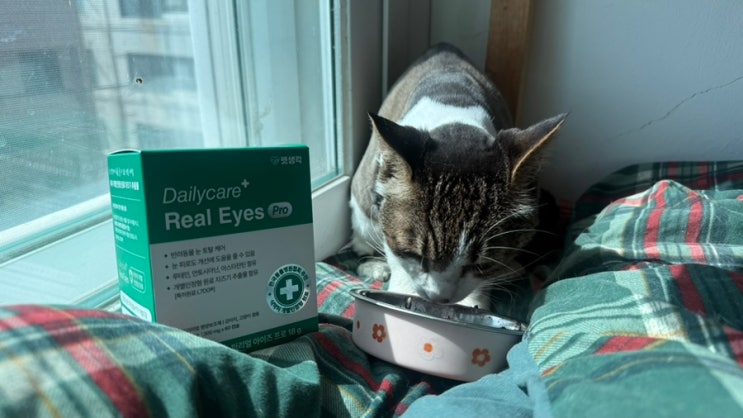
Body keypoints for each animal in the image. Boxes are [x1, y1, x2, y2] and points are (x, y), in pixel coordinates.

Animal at [349, 43, 566, 310]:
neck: (455, 114)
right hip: (363, 208)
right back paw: (374, 266)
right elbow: (396, 256)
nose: (439, 298)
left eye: (482, 264)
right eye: (414, 254)